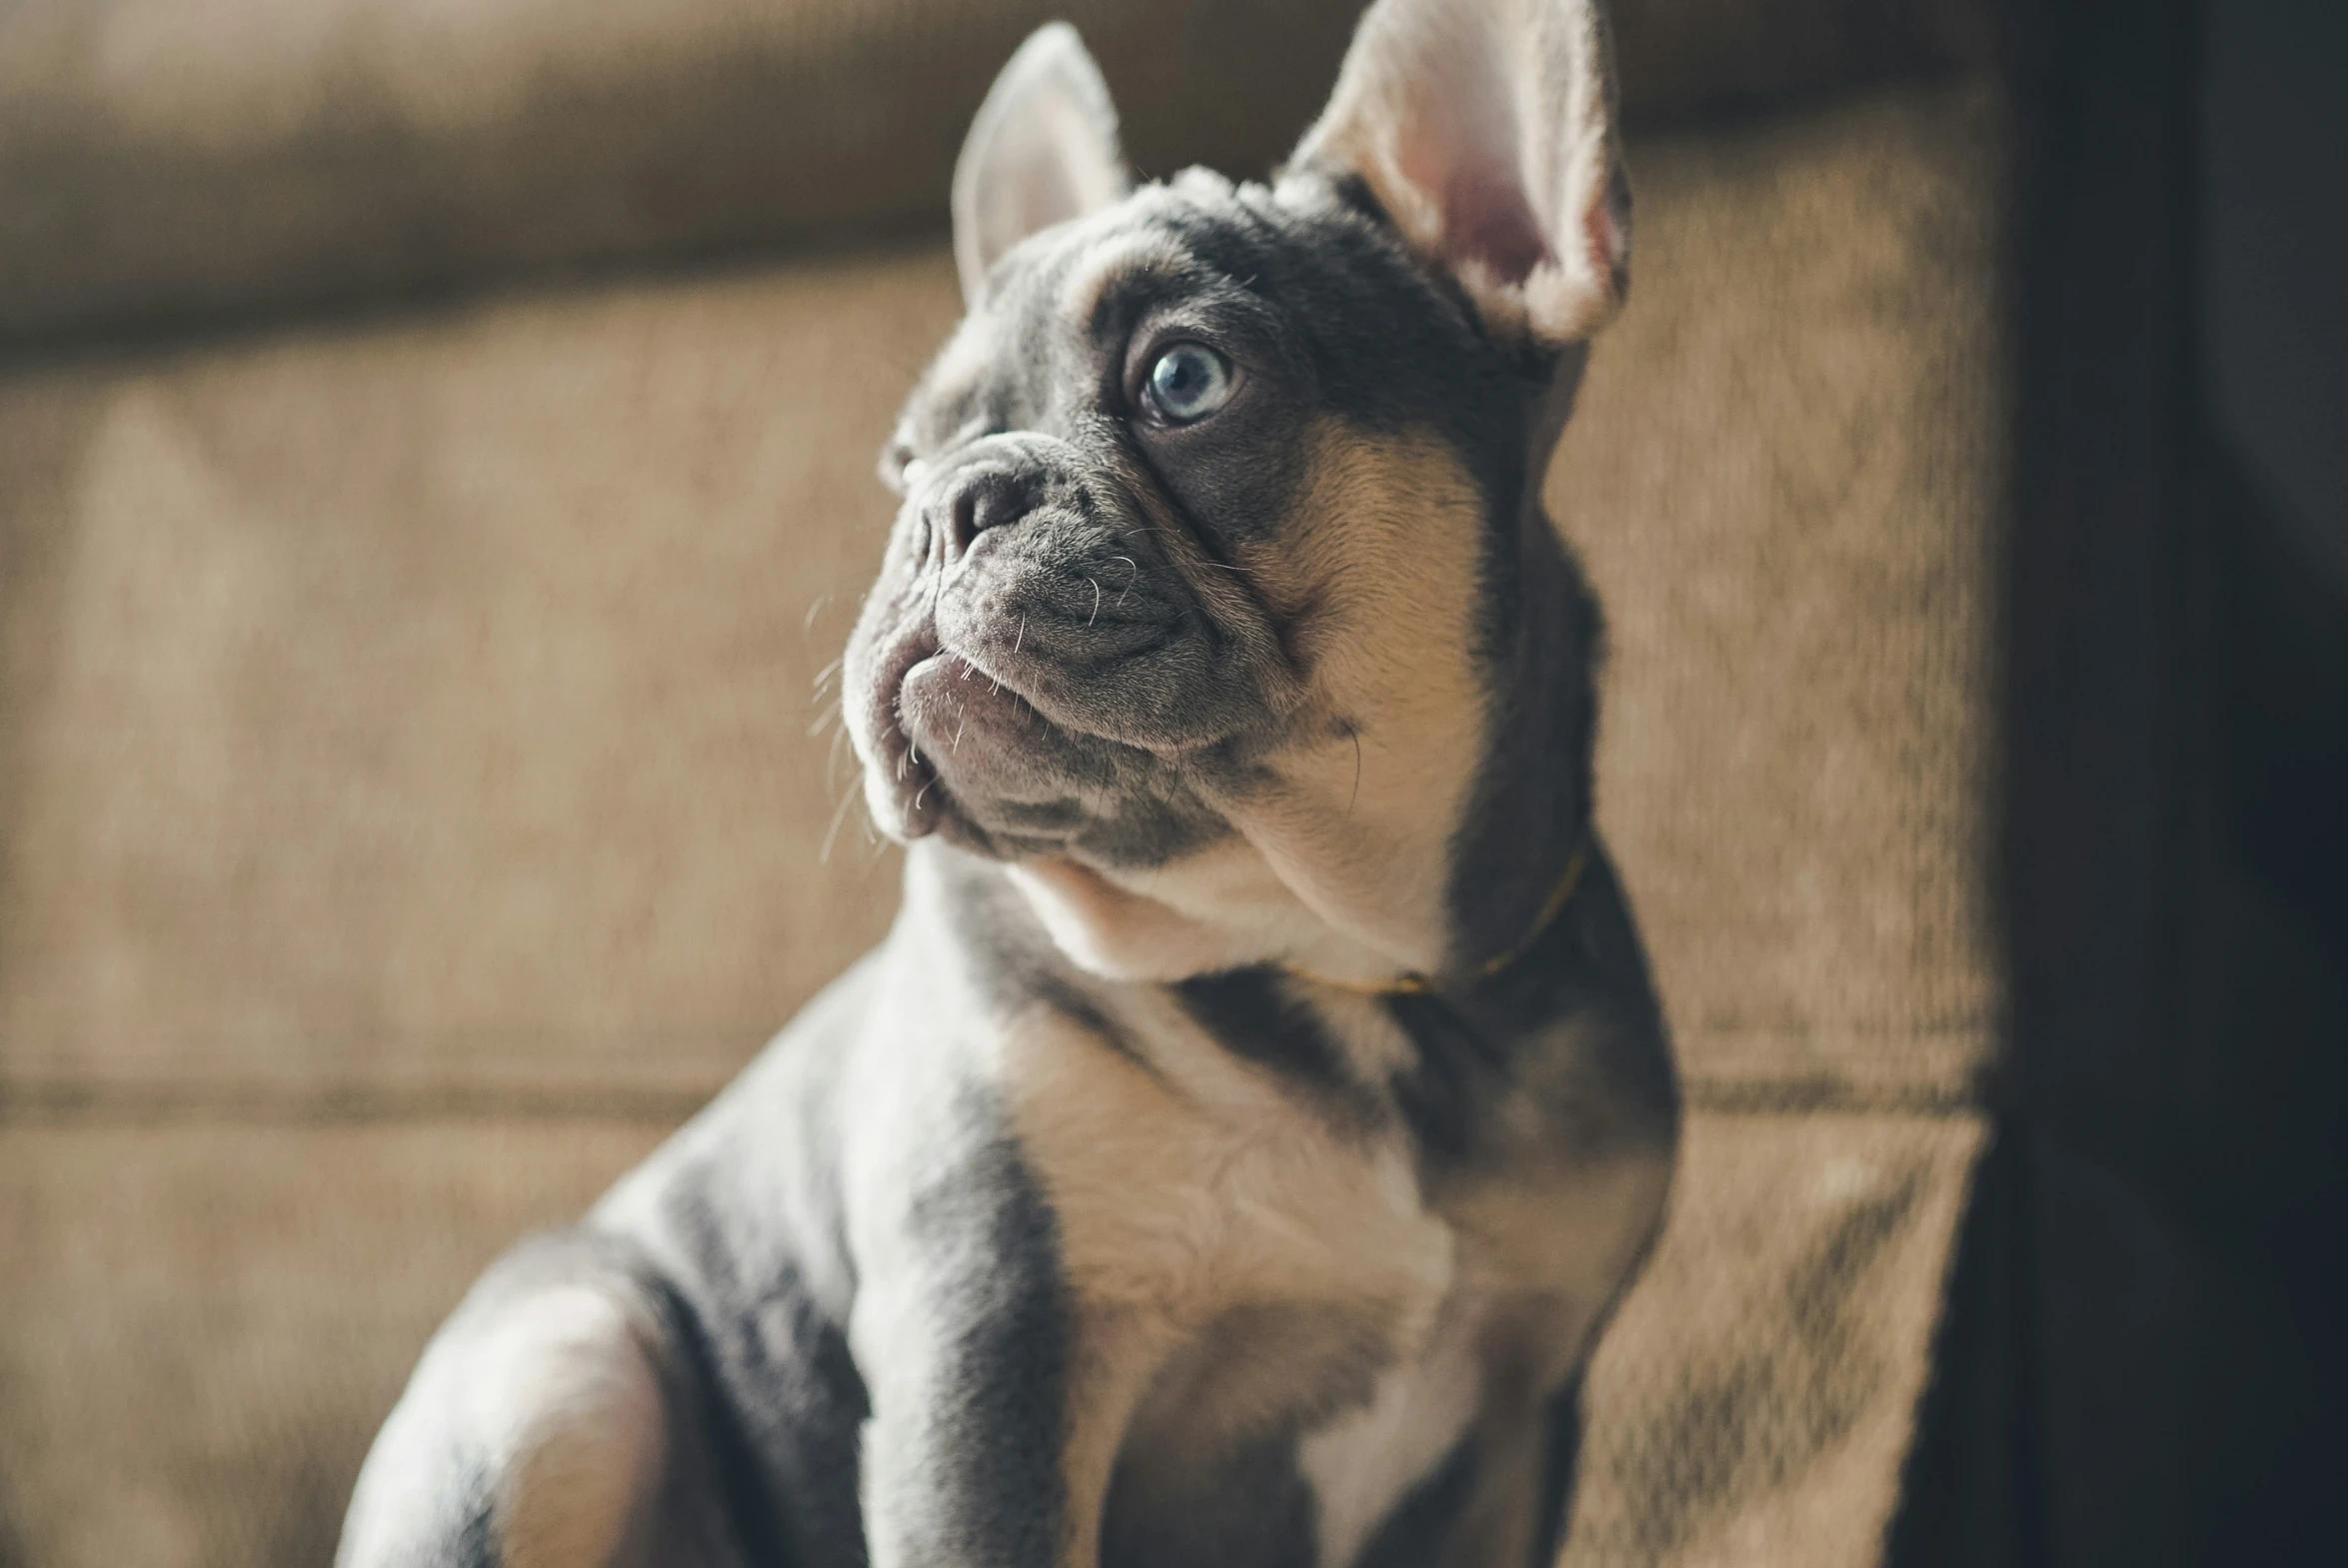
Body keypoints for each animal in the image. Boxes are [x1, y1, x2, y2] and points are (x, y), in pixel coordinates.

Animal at [340, 3, 1680, 1568]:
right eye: (902, 460)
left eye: (1184, 380)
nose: (943, 500)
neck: (1337, 963)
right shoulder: (995, 1358)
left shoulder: (1522, 1419)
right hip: (558, 1374)